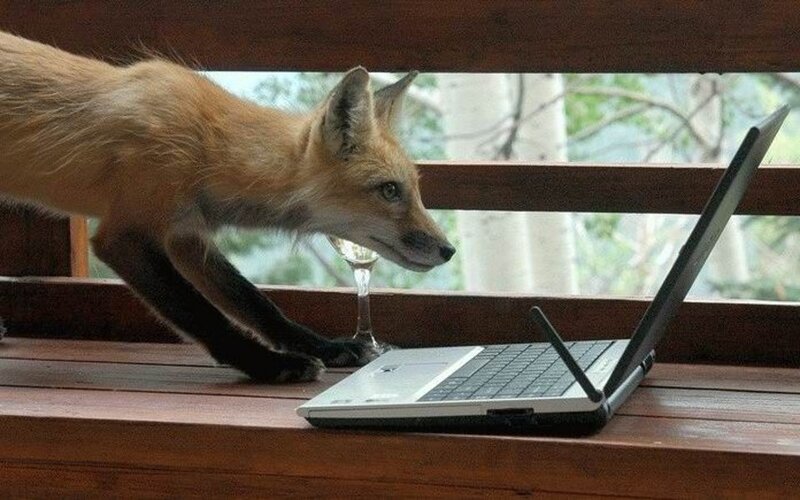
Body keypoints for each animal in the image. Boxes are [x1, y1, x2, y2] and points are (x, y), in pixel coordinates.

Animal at [0, 31, 455, 382]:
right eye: (389, 190)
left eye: (415, 189)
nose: (448, 250)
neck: (208, 146)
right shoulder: (125, 236)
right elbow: (204, 316)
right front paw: (270, 365)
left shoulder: (186, 234)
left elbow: (255, 303)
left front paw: (325, 347)